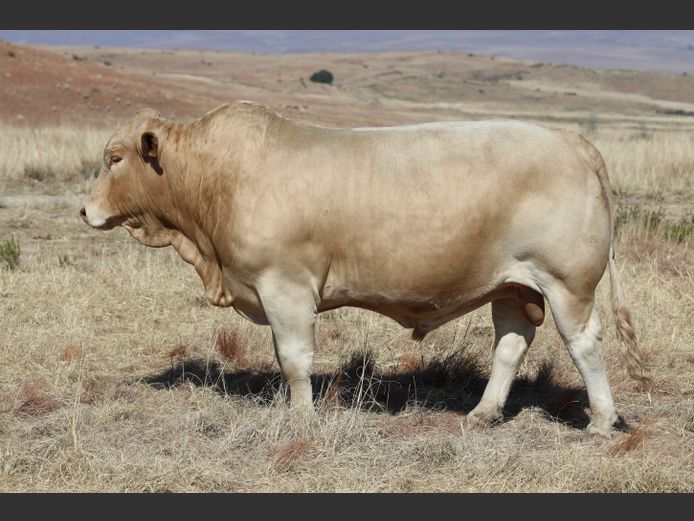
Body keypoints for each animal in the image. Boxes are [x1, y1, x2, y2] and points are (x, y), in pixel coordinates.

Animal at [81, 101, 651, 435]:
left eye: (114, 158)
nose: (84, 210)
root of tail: (571, 140)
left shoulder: (285, 287)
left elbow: (294, 360)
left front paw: (301, 417)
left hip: (567, 284)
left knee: (584, 344)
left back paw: (602, 420)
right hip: (512, 286)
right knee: (510, 345)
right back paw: (484, 413)